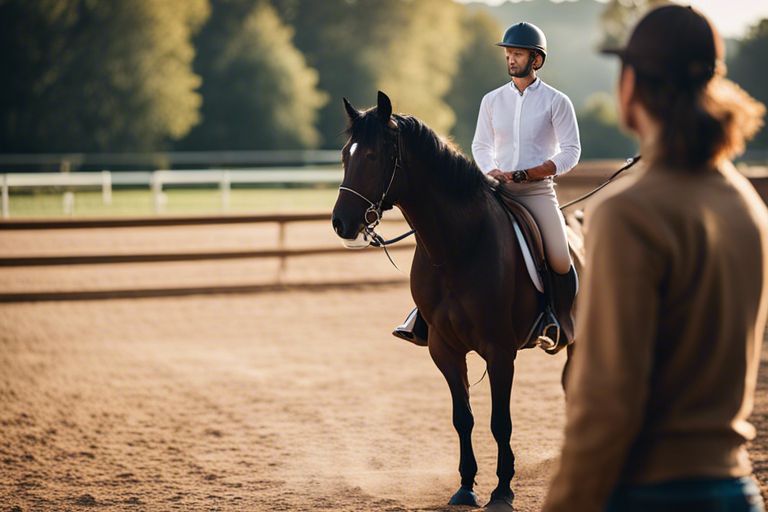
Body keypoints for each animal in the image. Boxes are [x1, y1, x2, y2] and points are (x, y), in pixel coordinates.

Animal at [330, 91, 576, 508]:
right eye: (346, 154)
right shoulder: (444, 348)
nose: (341, 223)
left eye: (373, 156)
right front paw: (465, 486)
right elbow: (463, 418)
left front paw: (502, 489)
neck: (457, 247)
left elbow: (500, 421)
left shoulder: (499, 350)